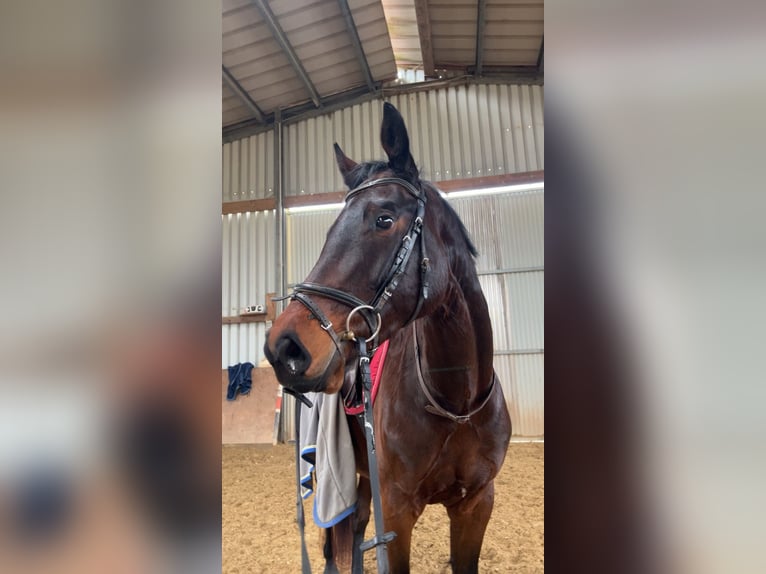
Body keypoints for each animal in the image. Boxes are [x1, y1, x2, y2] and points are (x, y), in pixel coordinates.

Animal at [264, 102, 512, 574]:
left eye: (384, 219)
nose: (284, 348)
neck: (455, 403)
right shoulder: (397, 510)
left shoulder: (477, 505)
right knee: (334, 545)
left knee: (358, 528)